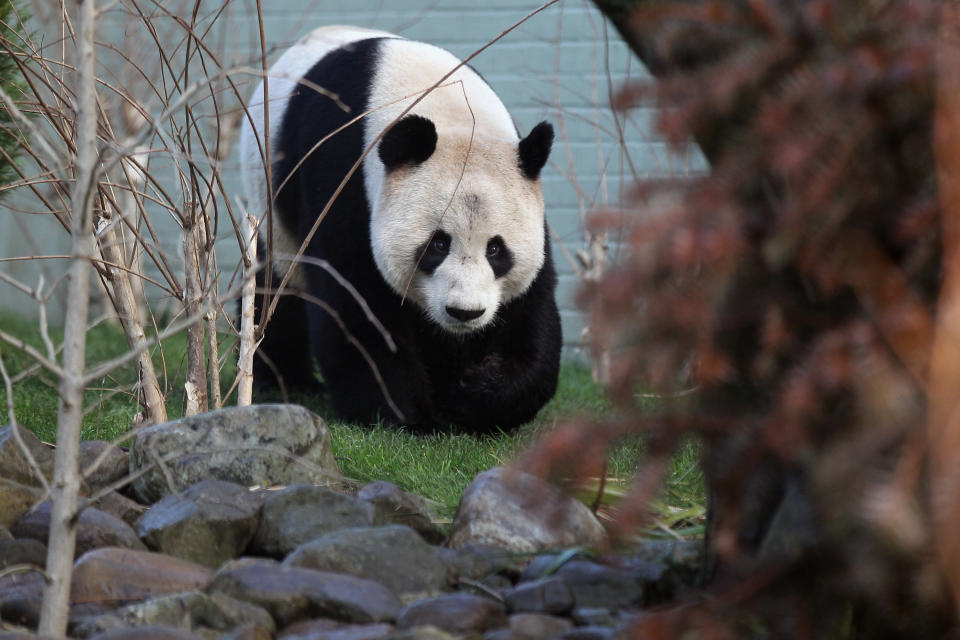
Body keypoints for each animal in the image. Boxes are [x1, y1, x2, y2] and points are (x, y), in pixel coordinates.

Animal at [240, 27, 568, 432]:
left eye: (496, 250)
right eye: (437, 245)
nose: (465, 313)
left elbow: (529, 312)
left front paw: (475, 397)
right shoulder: (343, 179)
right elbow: (355, 304)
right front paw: (405, 413)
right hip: (270, 202)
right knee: (277, 286)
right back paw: (288, 381)